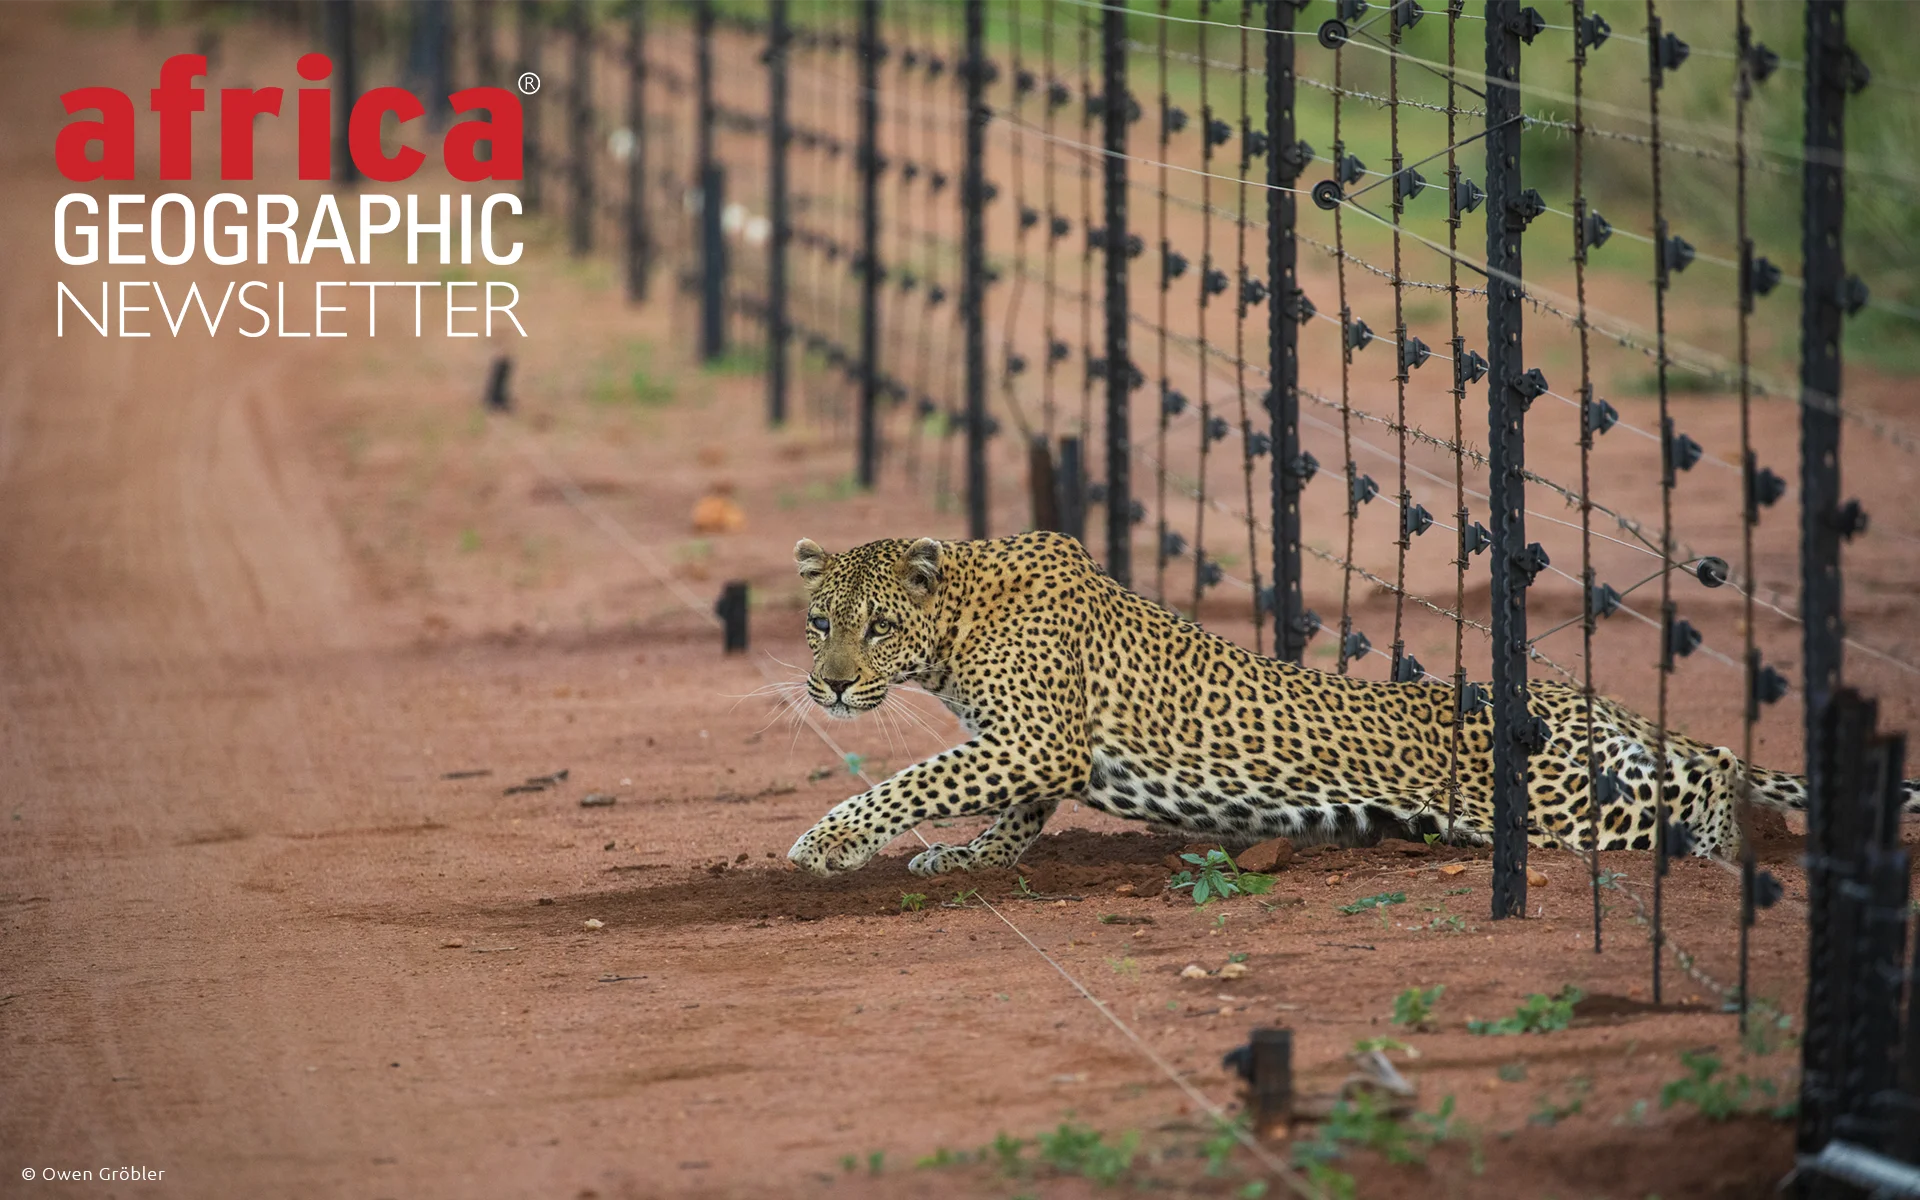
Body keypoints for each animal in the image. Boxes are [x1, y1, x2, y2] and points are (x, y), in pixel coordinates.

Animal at [784, 531, 1919, 878]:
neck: (957, 618)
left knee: (1709, 779)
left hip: (1570, 807)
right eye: (819, 621)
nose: (828, 682)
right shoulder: (1024, 749)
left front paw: (825, 844)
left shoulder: (1034, 739)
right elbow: (1000, 811)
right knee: (1707, 766)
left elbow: (914, 778)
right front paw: (968, 858)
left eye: (875, 626)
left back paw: (1745, 850)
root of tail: (1588, 697)